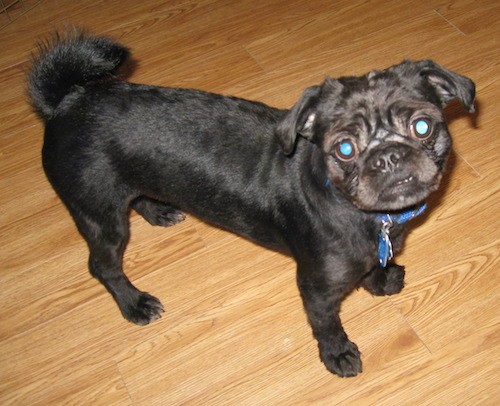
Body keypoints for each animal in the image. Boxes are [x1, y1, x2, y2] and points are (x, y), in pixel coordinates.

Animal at [26, 32, 472, 378]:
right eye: (344, 148)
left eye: (422, 126)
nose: (388, 157)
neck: (368, 217)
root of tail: (68, 100)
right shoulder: (315, 287)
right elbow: (326, 324)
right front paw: (338, 354)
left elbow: (373, 266)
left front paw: (380, 281)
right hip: (101, 216)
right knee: (103, 265)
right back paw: (134, 304)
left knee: (137, 199)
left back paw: (160, 211)